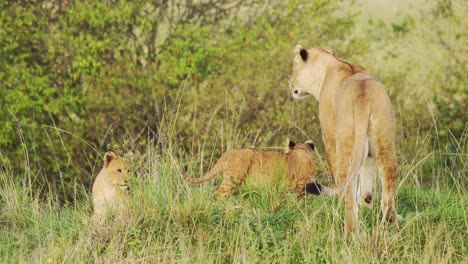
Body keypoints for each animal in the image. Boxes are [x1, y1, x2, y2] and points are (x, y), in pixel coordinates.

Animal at [288, 45, 398, 235]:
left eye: (294, 65)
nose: (290, 84)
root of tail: (363, 97)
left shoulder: (329, 138)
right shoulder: (367, 153)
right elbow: (367, 186)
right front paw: (366, 209)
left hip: (345, 141)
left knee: (346, 184)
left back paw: (350, 231)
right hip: (384, 139)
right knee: (388, 178)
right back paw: (389, 226)